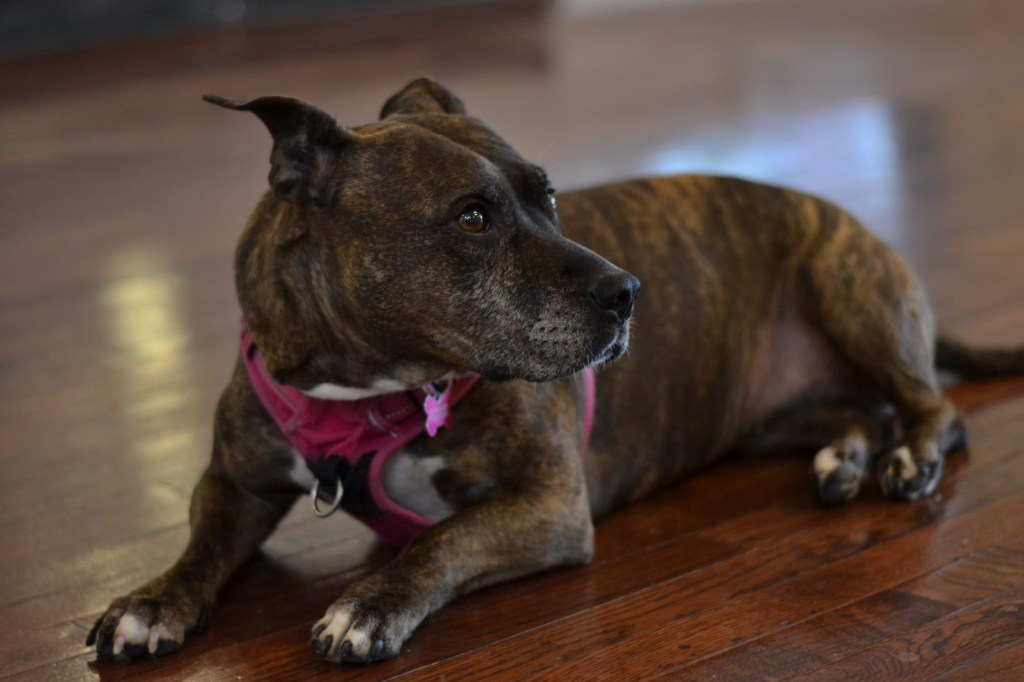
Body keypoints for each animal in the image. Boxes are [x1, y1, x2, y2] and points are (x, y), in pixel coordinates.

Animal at [87, 77, 1024, 664]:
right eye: (472, 218)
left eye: (549, 195)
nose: (629, 292)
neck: (368, 385)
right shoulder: (234, 483)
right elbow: (202, 544)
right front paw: (150, 600)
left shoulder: (549, 505)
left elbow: (440, 537)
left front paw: (370, 603)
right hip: (762, 415)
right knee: (858, 413)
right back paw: (845, 458)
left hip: (848, 289)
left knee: (932, 408)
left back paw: (909, 455)